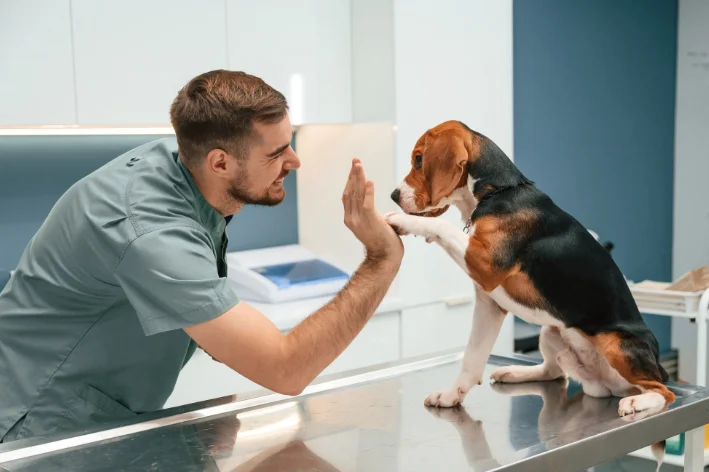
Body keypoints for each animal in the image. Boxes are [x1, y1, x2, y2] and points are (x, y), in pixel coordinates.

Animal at [384, 120, 672, 422]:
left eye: (419, 160)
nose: (393, 196)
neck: (499, 191)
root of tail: (605, 385)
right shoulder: (489, 303)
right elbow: (472, 357)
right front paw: (452, 395)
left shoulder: (484, 263)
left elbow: (442, 227)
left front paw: (402, 221)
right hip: (551, 331)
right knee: (555, 373)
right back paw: (514, 372)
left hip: (617, 344)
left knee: (662, 391)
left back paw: (638, 401)